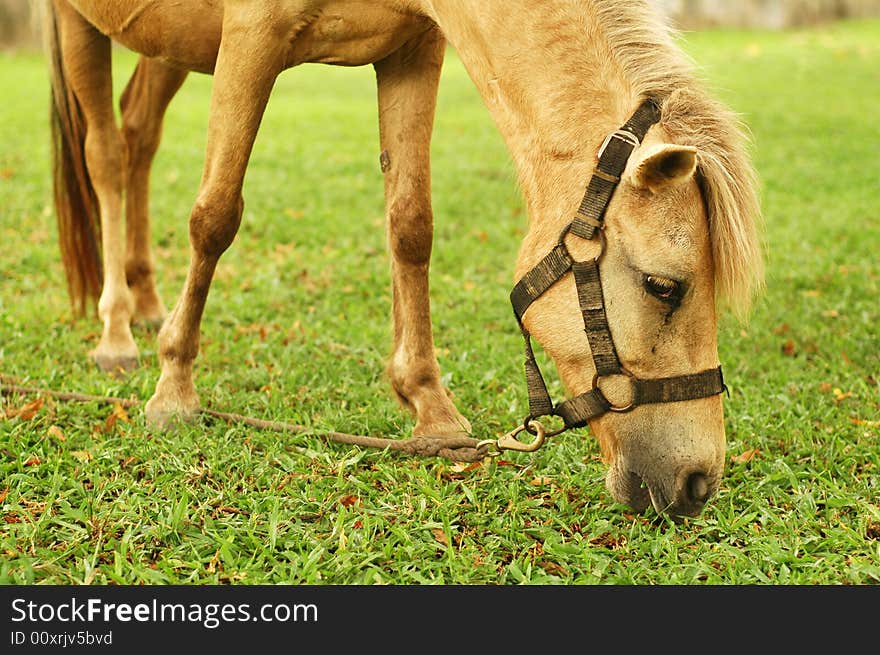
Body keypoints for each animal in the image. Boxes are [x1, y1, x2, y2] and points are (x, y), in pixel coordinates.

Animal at [36, 2, 764, 520]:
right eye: (664, 286)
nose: (698, 483)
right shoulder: (251, 35)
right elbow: (214, 216)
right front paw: (175, 388)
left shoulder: (413, 48)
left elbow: (411, 225)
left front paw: (429, 406)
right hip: (80, 21)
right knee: (106, 153)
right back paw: (117, 330)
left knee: (139, 135)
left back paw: (146, 302)